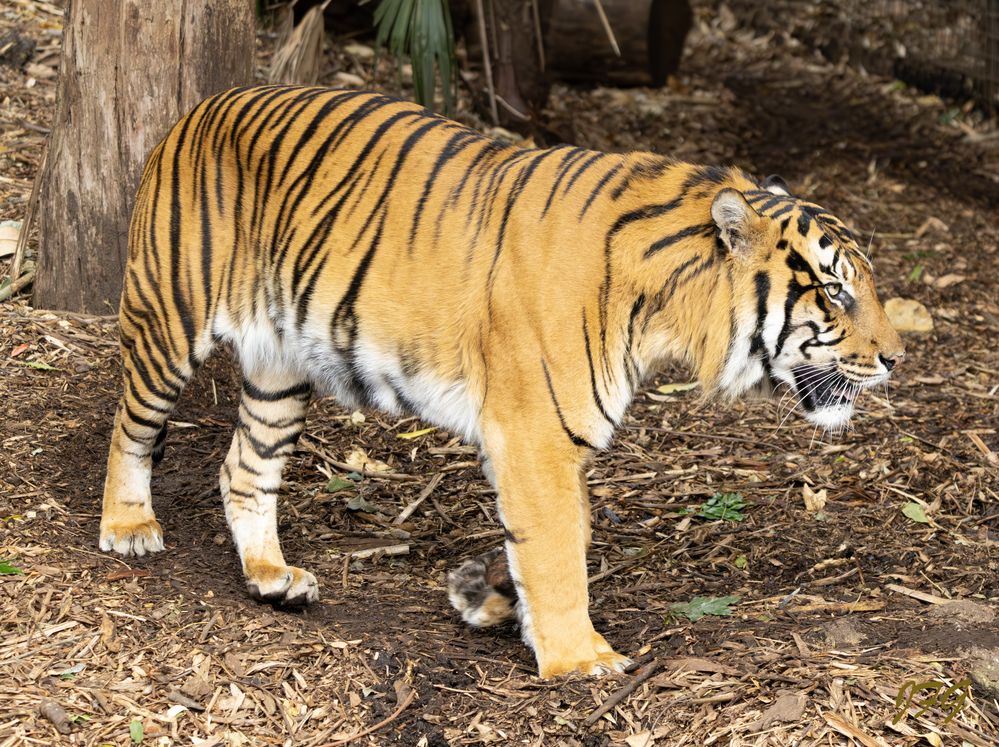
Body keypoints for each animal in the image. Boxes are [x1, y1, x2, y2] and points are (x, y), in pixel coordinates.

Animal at [101, 83, 908, 676]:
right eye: (835, 292)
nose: (897, 357)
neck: (664, 309)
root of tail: (199, 107)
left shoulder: (557, 441)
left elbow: (556, 537)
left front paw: (485, 595)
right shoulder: (533, 433)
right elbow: (555, 550)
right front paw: (579, 658)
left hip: (279, 367)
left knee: (243, 466)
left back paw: (271, 574)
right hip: (168, 318)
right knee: (132, 427)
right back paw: (129, 527)